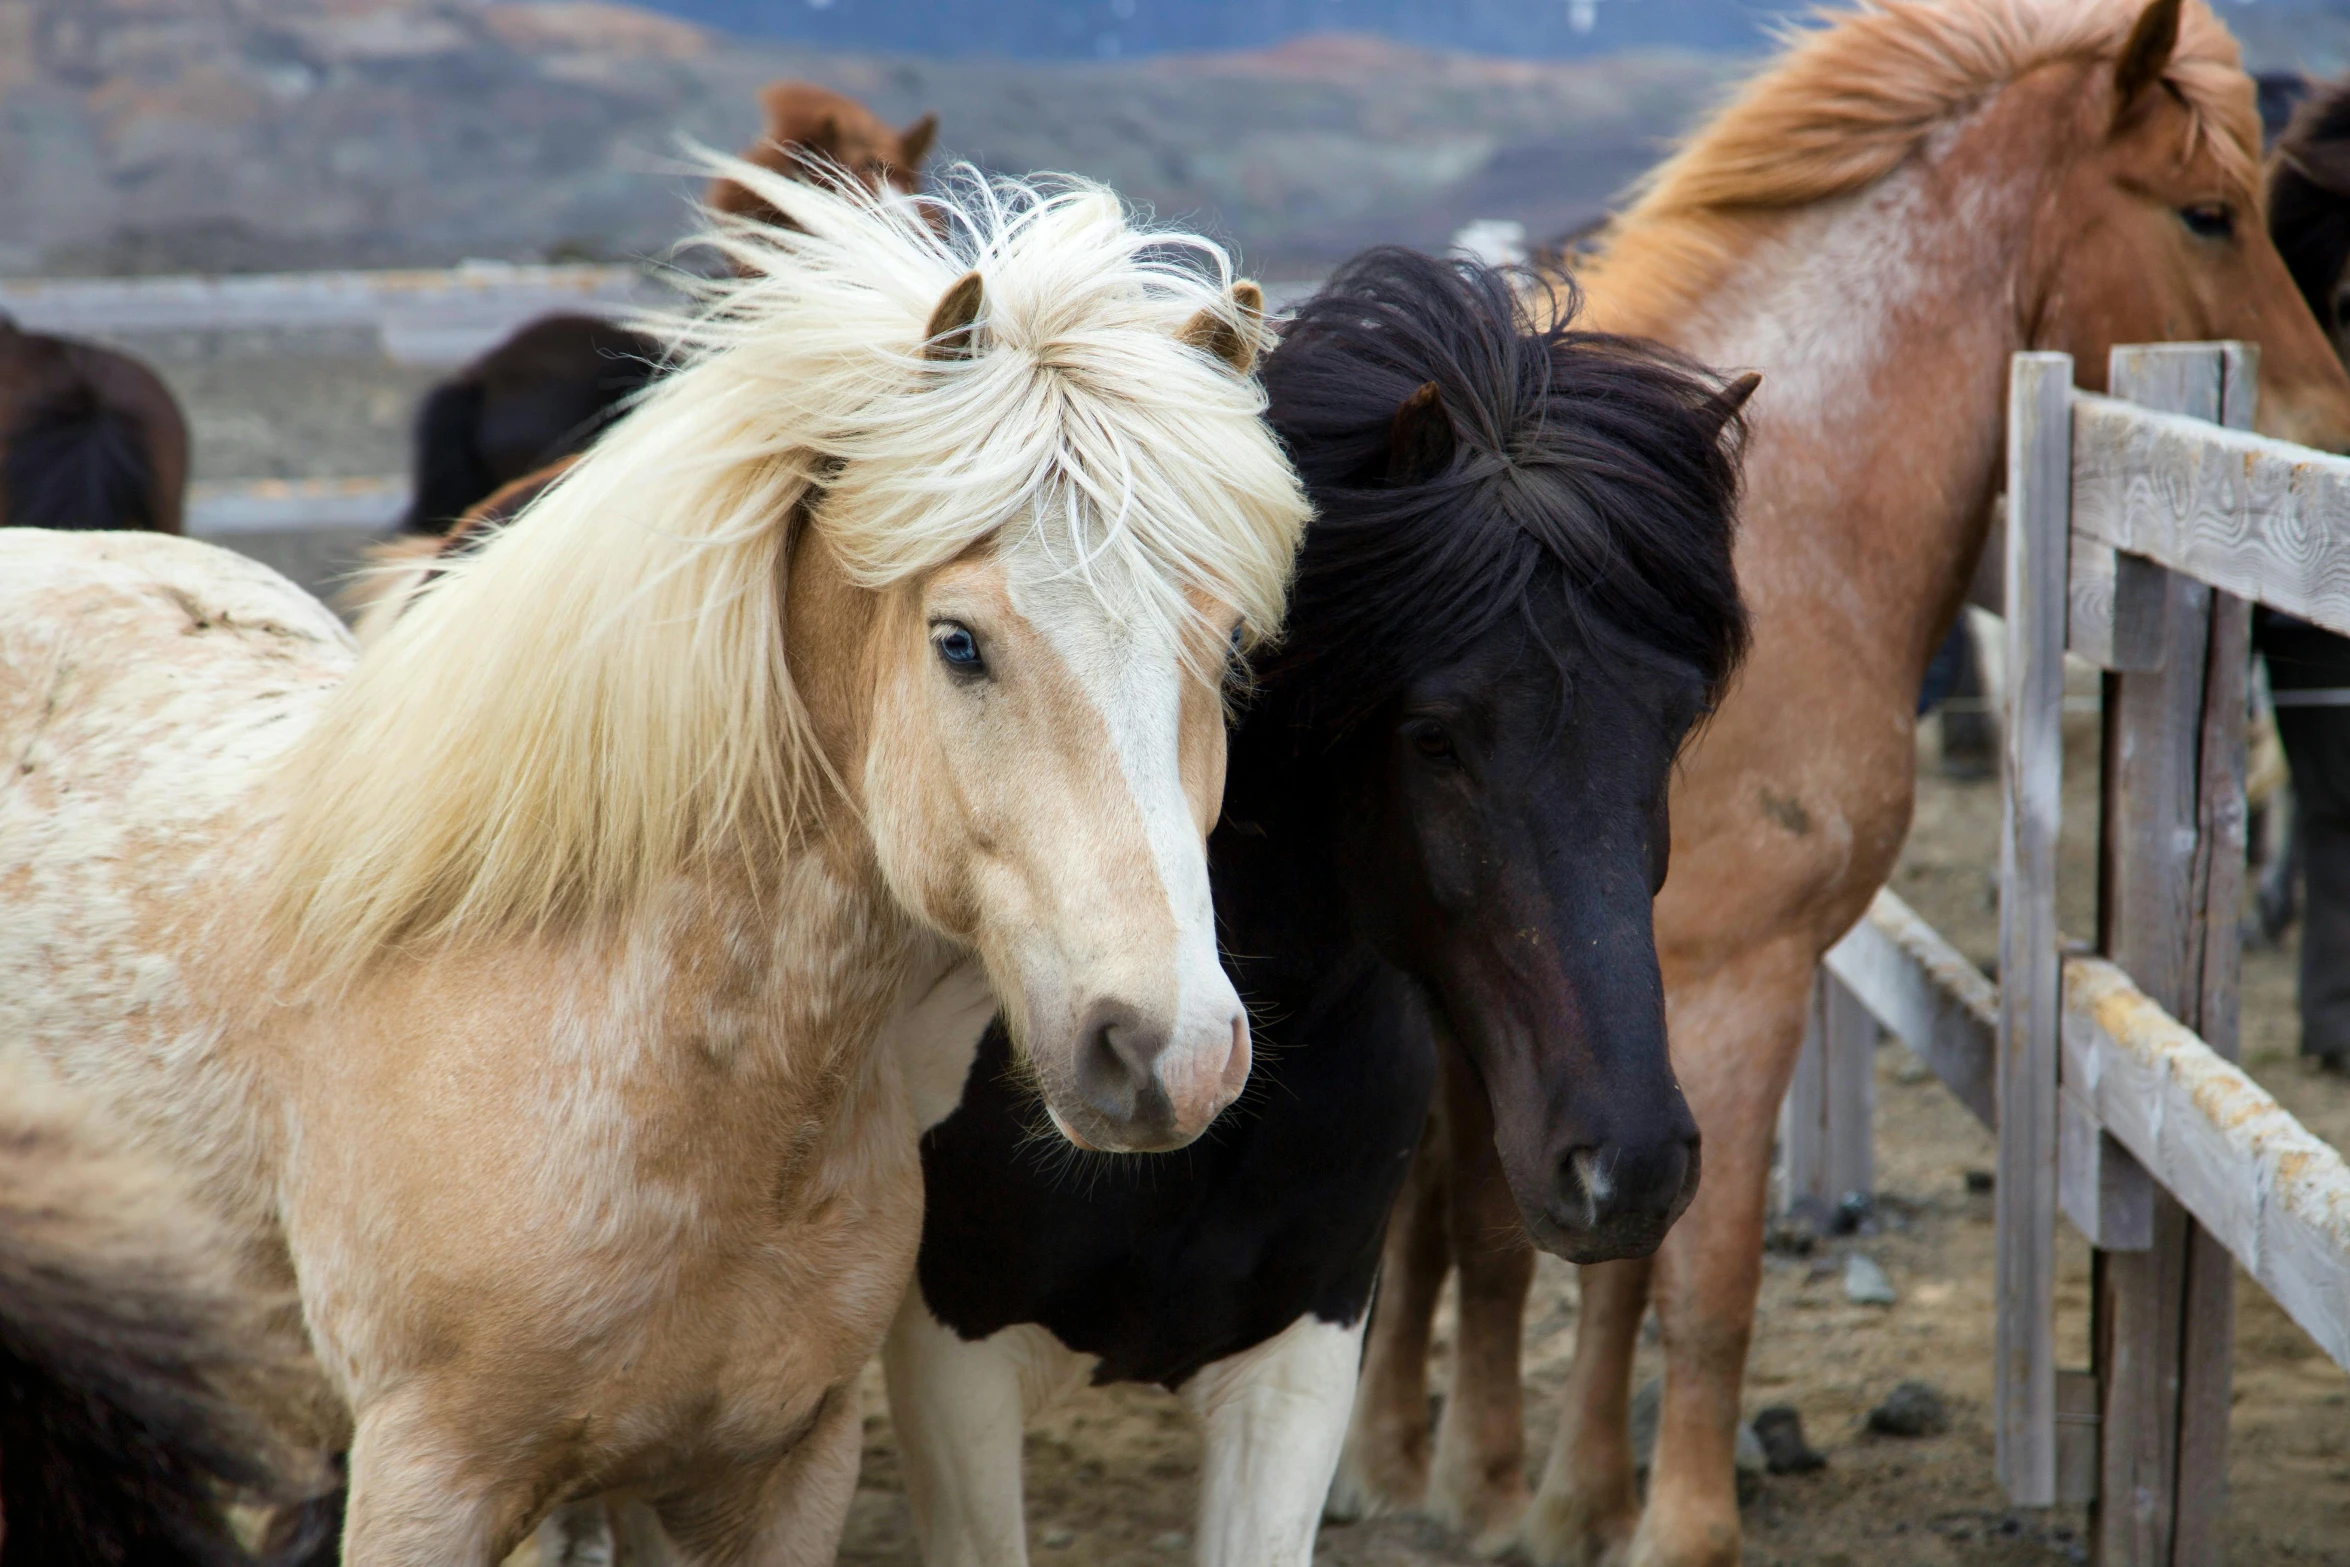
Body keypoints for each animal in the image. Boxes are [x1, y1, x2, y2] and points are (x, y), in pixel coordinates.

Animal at [1353, 3, 2350, 1567]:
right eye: (2209, 213)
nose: (2320, 426)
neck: (1778, 539)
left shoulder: (1617, 1011)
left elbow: (1584, 1250)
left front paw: (1565, 1499)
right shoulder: (1731, 977)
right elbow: (1694, 1270)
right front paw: (1673, 1527)